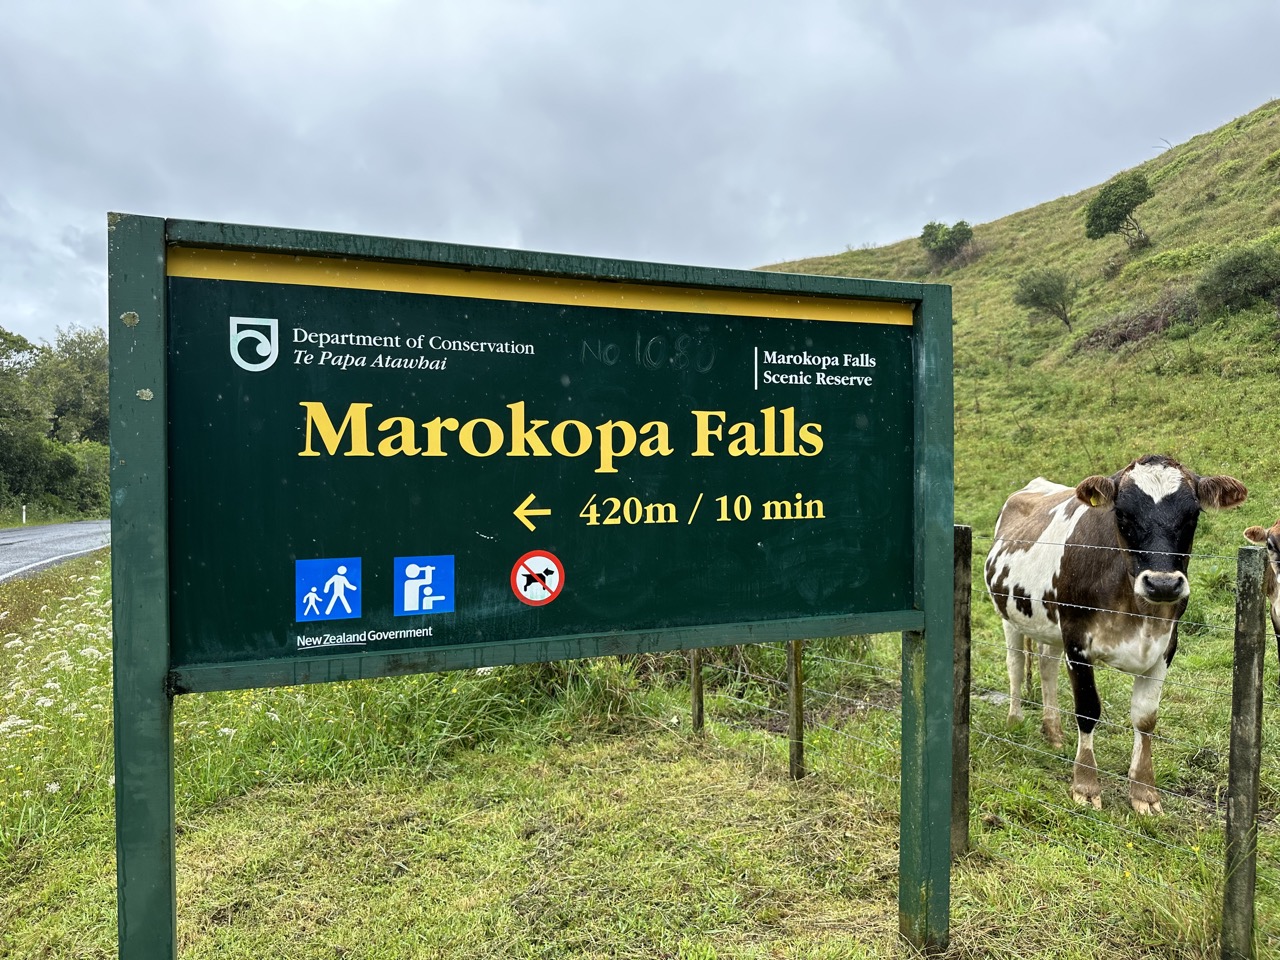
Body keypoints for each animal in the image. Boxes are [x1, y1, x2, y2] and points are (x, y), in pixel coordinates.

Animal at [983, 455, 1244, 814]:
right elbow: (1088, 710)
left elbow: (1146, 719)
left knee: (1047, 667)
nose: (1163, 584)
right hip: (1010, 616)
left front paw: (1145, 792)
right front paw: (1085, 785)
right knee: (1016, 665)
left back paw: (1054, 732)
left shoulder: (1165, 648)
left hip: (1050, 626)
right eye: (1121, 513)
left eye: (1193, 515)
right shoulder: (1077, 642)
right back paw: (1014, 721)